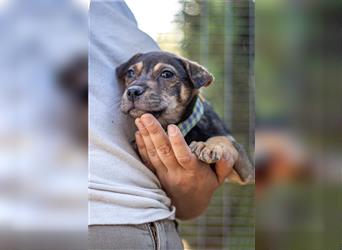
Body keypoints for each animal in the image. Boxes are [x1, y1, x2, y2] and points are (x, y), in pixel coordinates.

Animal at [117, 51, 254, 184]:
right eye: (130, 73)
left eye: (167, 74)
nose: (132, 92)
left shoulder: (246, 170)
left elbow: (222, 139)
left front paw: (208, 146)